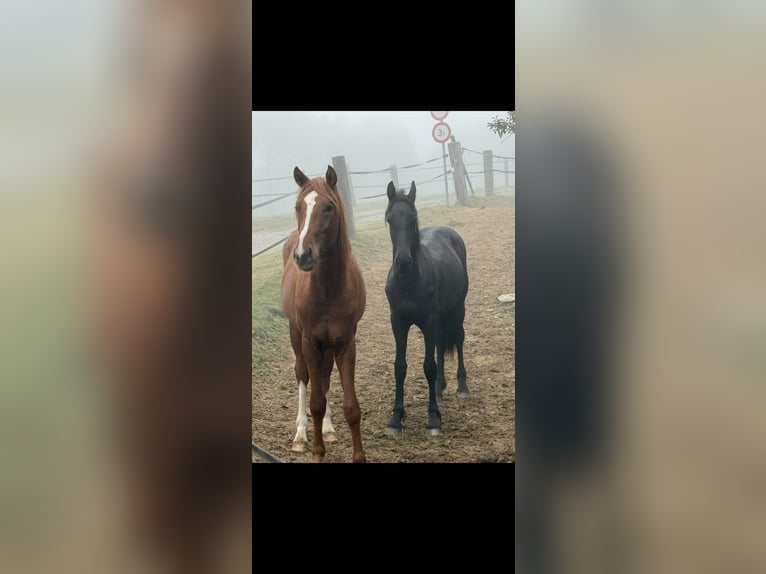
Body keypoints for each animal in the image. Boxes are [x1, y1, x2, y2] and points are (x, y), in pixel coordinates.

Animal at [280, 165, 367, 463]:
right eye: (297, 207)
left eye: (328, 207)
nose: (303, 255)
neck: (329, 289)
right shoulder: (309, 341)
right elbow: (315, 402)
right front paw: (317, 452)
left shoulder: (345, 342)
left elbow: (351, 406)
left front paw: (358, 456)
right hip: (296, 336)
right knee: (303, 375)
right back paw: (300, 435)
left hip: (328, 345)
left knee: (326, 375)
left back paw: (328, 429)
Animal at [384, 181, 469, 436]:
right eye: (390, 218)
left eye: (413, 217)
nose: (403, 262)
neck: (409, 281)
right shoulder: (398, 322)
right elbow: (400, 366)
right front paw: (396, 418)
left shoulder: (429, 321)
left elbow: (428, 366)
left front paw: (433, 418)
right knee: (441, 343)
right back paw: (440, 386)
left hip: (457, 310)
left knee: (458, 338)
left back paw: (462, 386)